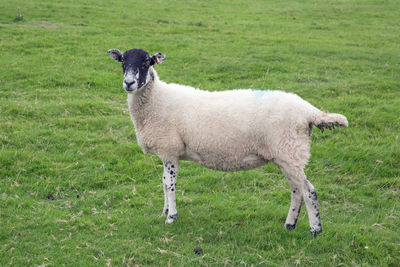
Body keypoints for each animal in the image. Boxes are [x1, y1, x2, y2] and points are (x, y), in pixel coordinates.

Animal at [108, 48, 348, 237]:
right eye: (122, 62)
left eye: (146, 62)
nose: (129, 83)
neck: (156, 99)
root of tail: (309, 111)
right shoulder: (167, 153)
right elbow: (164, 183)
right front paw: (165, 212)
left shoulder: (170, 150)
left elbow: (170, 184)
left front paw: (171, 217)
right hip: (286, 156)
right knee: (297, 190)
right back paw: (289, 225)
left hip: (290, 152)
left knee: (309, 191)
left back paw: (315, 230)